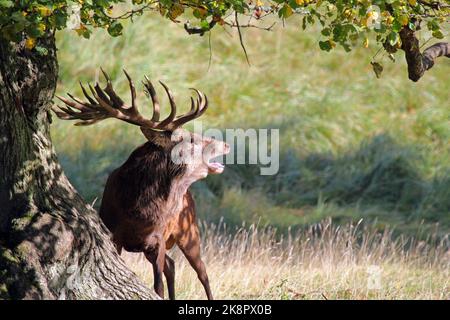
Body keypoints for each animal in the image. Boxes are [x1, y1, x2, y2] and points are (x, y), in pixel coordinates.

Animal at [52, 70, 229, 300]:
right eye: (191, 140)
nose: (226, 144)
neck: (139, 212)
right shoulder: (114, 233)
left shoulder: (158, 238)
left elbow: (158, 286)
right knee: (174, 266)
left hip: (189, 229)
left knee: (202, 272)